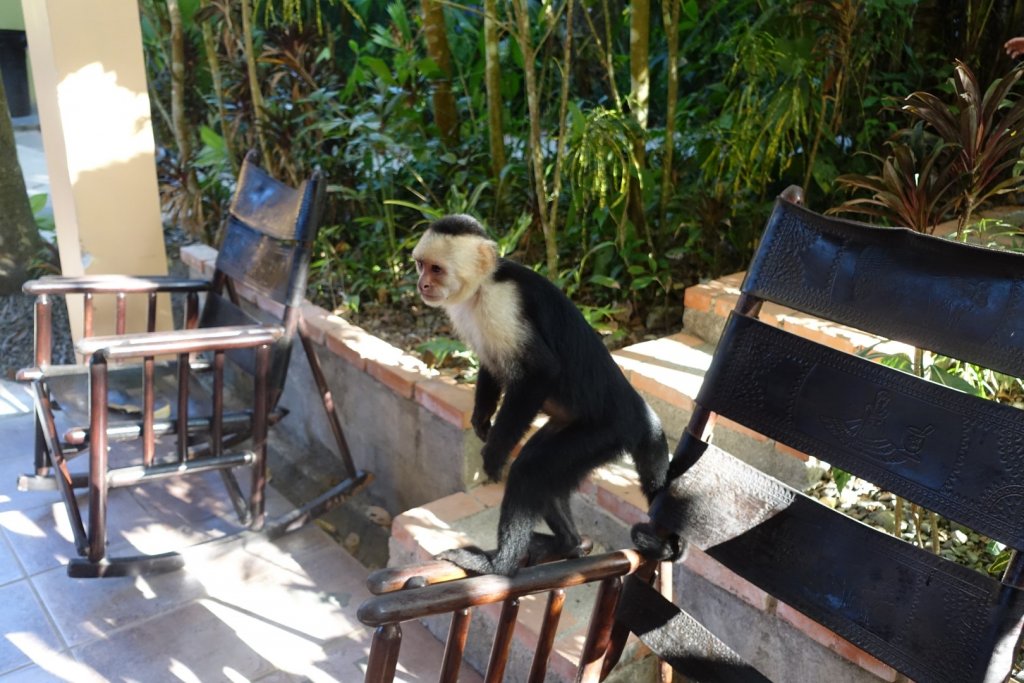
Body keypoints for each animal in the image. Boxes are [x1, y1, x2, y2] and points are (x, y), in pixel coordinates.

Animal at [409, 215, 671, 577]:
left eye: (436, 269)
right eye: (421, 266)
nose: (422, 285)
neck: (481, 288)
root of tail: (636, 408)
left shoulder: (502, 303)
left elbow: (540, 372)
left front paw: (494, 453)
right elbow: (490, 364)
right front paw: (481, 419)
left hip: (604, 432)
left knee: (529, 470)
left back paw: (498, 564)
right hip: (579, 434)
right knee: (545, 475)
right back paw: (569, 544)